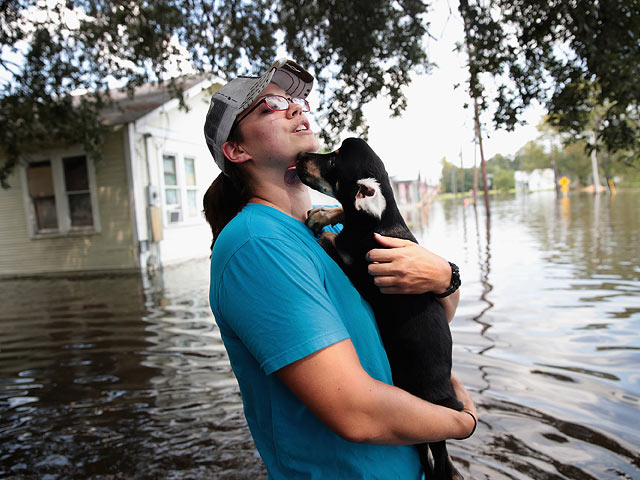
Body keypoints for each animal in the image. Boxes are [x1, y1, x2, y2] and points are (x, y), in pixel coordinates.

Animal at [296, 137, 464, 480]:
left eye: (333, 161)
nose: (301, 155)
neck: (378, 224)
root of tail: (447, 396)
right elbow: (342, 214)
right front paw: (322, 215)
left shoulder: (362, 273)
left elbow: (334, 242)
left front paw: (326, 228)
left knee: (437, 453)